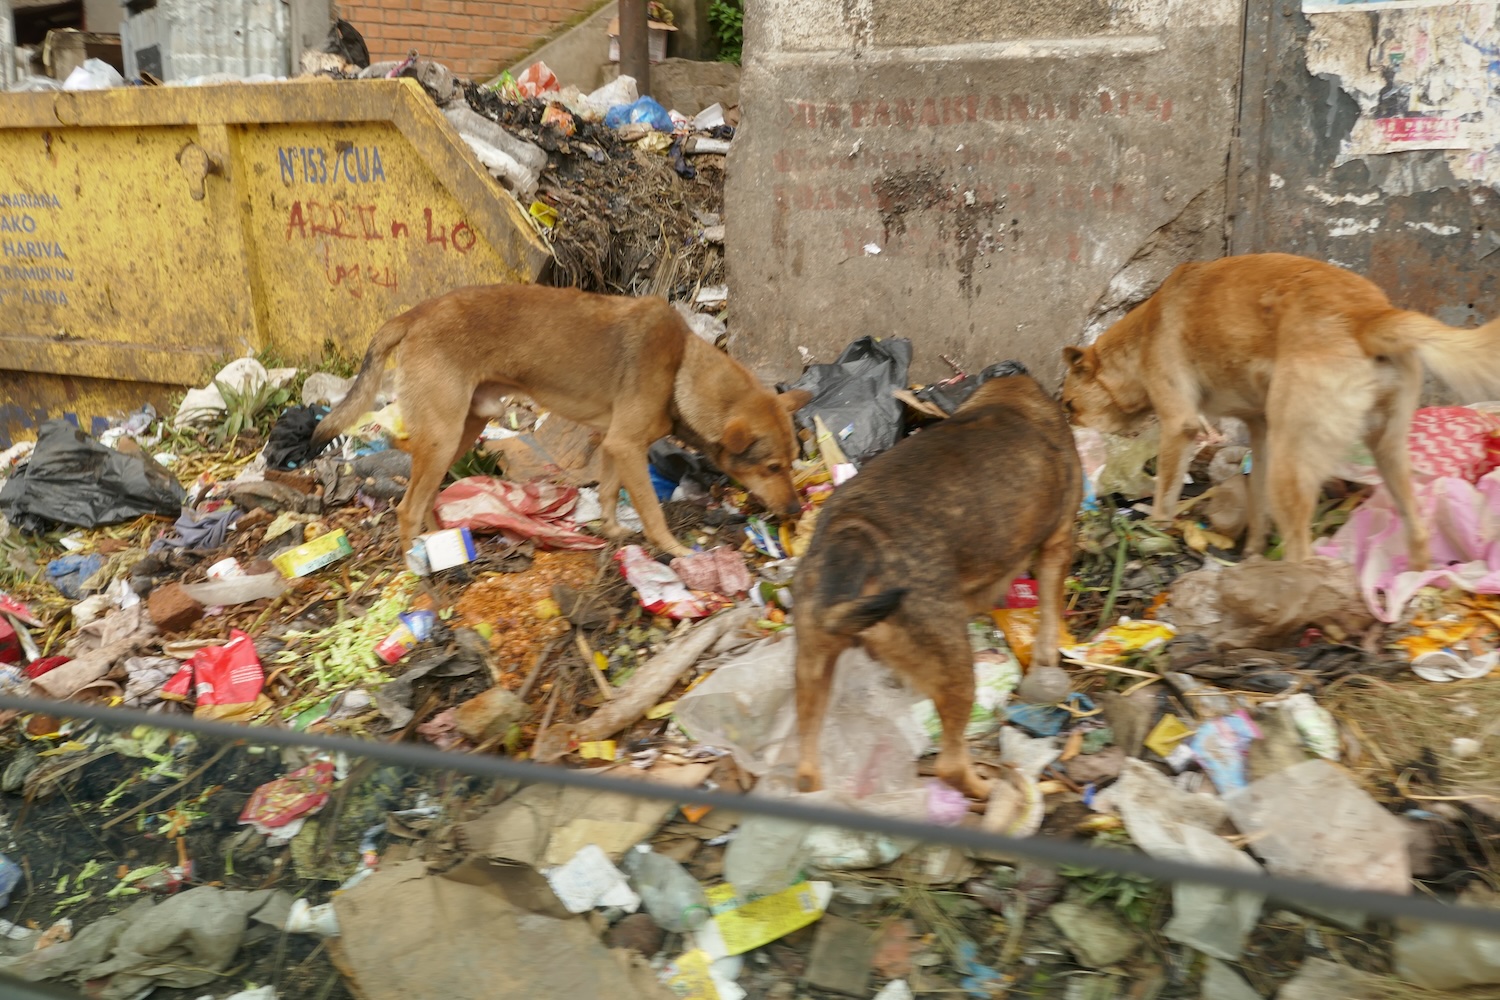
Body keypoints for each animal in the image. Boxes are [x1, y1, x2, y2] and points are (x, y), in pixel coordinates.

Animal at [309, 284, 816, 560]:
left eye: (793, 462)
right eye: (772, 468)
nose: (796, 511)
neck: (681, 371)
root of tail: (414, 314)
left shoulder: (613, 443)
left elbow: (609, 492)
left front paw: (610, 530)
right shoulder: (627, 445)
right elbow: (651, 511)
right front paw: (673, 550)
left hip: (461, 431)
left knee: (427, 497)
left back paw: (447, 544)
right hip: (442, 436)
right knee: (407, 508)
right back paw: (422, 570)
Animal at [792, 371, 1086, 803]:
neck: (1012, 395)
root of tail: (854, 539)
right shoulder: (1057, 541)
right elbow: (1050, 606)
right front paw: (1047, 654)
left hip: (812, 666)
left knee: (806, 767)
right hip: (955, 667)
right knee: (950, 765)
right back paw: (988, 788)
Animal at [1068, 254, 1500, 569]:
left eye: (1070, 404)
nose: (1070, 432)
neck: (1143, 333)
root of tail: (1366, 315)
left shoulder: (1179, 424)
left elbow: (1166, 493)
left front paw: (1153, 530)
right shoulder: (1260, 432)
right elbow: (1257, 506)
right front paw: (1253, 551)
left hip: (1292, 465)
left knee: (1301, 554)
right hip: (1387, 453)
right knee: (1418, 531)